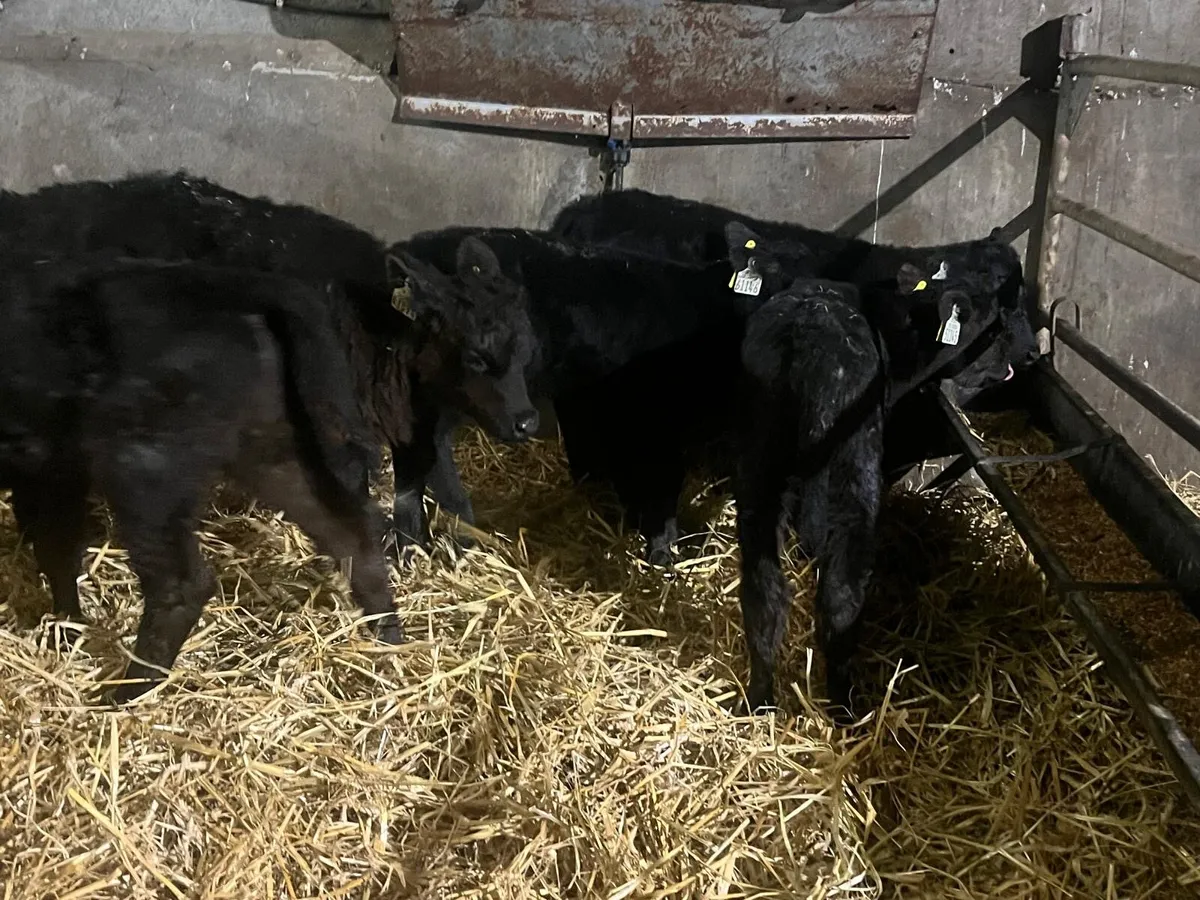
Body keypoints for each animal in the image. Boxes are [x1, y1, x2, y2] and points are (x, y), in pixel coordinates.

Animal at [0, 256, 404, 702]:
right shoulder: (50, 472)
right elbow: (56, 548)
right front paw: (64, 631)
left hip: (145, 468)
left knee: (180, 584)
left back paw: (123, 693)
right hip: (273, 447)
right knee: (351, 533)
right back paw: (388, 641)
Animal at [725, 221, 1040, 719]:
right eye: (1000, 315)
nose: (1030, 354)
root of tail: (809, 338)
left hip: (758, 460)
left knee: (763, 586)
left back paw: (759, 699)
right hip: (857, 465)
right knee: (842, 592)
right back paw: (844, 707)